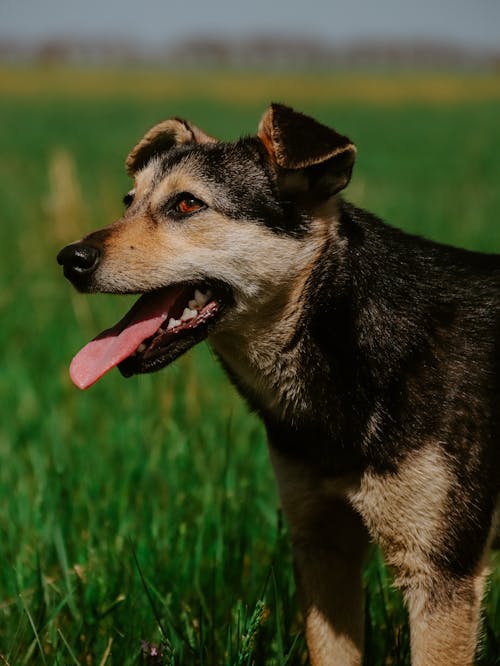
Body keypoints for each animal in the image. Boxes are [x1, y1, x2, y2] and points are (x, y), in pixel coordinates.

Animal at [56, 105, 498, 664]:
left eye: (186, 204)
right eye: (128, 202)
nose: (70, 259)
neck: (345, 335)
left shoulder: (439, 571)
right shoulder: (321, 544)